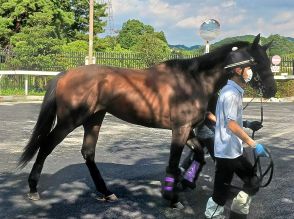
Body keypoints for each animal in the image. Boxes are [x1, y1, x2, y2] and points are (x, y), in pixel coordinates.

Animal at [17, 33, 276, 204]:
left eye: (269, 61)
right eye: (256, 62)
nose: (272, 90)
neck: (193, 80)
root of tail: (65, 74)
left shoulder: (189, 129)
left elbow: (199, 155)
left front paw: (187, 181)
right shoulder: (180, 129)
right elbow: (173, 161)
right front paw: (171, 195)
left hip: (94, 118)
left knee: (88, 152)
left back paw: (106, 191)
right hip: (71, 119)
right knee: (46, 145)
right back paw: (33, 187)